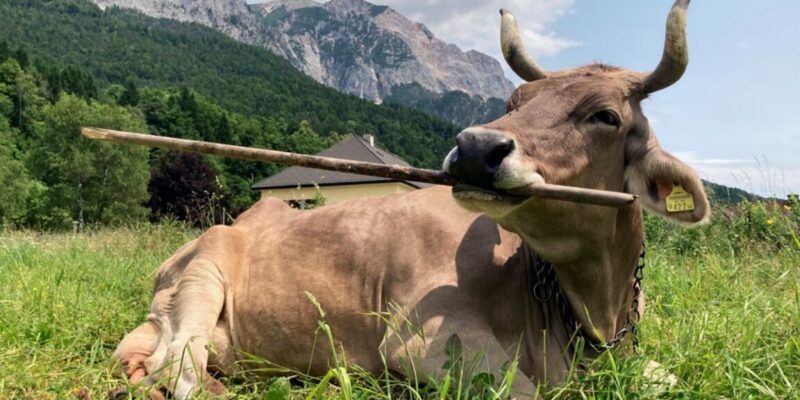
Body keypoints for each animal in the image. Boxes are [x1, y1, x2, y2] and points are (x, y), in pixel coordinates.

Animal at [112, 0, 708, 398]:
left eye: (605, 115)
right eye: (514, 101)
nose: (476, 147)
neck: (592, 314)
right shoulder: (424, 344)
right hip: (203, 274)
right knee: (178, 367)